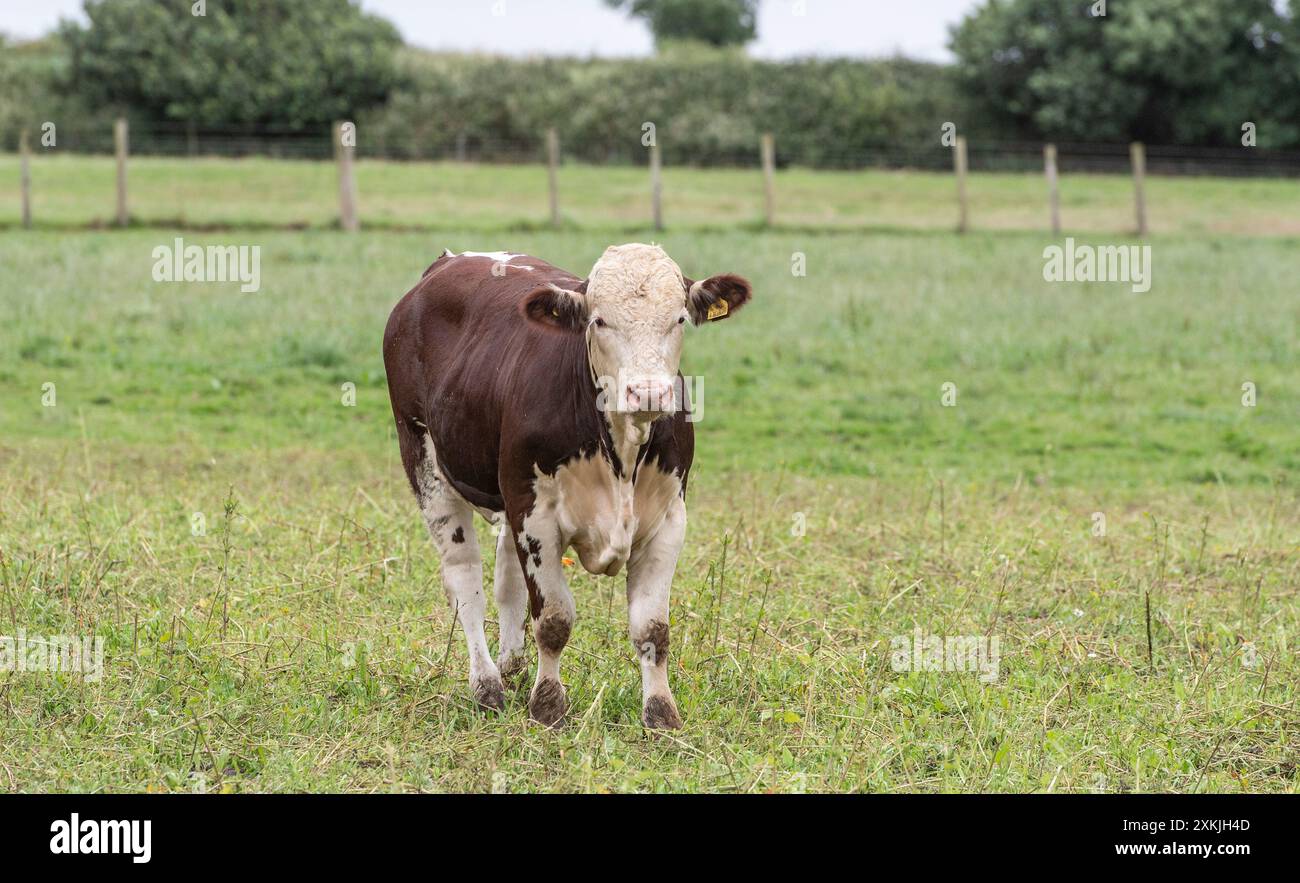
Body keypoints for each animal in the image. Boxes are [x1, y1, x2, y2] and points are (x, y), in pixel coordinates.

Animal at [379, 245, 754, 728]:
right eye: (599, 321)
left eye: (678, 319)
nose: (648, 393)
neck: (621, 453)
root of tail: (448, 260)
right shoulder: (535, 517)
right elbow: (554, 619)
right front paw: (548, 705)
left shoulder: (669, 518)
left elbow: (653, 627)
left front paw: (660, 713)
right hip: (426, 460)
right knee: (465, 582)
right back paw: (487, 685)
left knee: (505, 579)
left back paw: (513, 667)